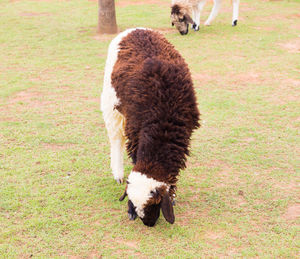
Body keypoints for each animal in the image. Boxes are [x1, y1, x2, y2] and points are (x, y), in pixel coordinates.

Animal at [100, 28, 199, 226]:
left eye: (156, 203)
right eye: (131, 203)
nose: (149, 224)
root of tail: (135, 29)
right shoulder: (135, 130)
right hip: (111, 103)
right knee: (115, 140)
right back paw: (118, 173)